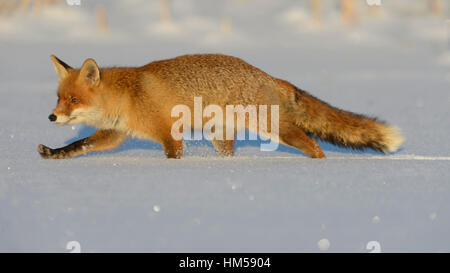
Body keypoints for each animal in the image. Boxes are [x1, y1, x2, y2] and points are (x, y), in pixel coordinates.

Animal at [38, 53, 404, 158]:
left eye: (74, 100)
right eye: (58, 97)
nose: (52, 116)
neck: (126, 96)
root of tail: (270, 76)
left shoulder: (168, 133)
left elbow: (173, 155)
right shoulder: (115, 134)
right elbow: (80, 144)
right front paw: (55, 153)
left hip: (273, 128)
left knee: (314, 145)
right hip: (221, 137)